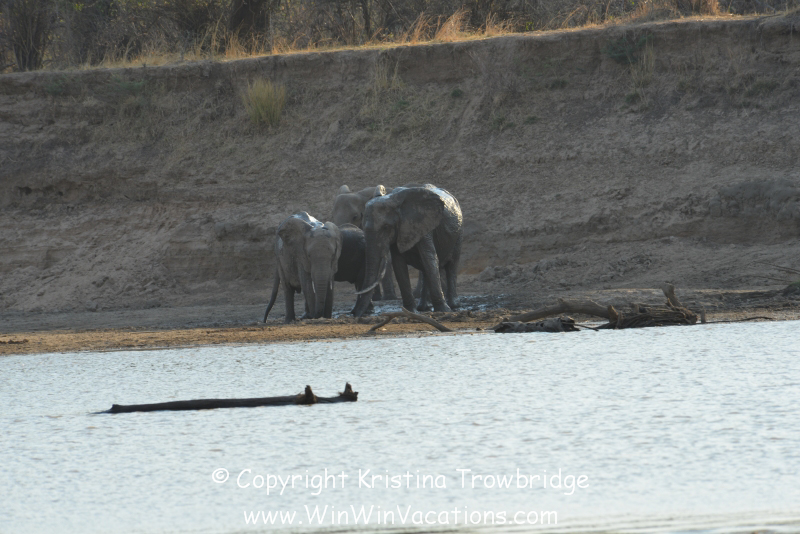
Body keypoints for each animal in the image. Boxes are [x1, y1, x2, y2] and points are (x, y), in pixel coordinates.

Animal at [352, 185, 462, 317]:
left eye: (386, 227)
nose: (354, 315)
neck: (392, 200)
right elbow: (399, 265)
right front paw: (411, 311)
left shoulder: (422, 224)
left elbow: (430, 259)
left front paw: (443, 310)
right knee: (424, 270)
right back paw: (423, 307)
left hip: (458, 234)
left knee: (452, 265)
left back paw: (454, 305)